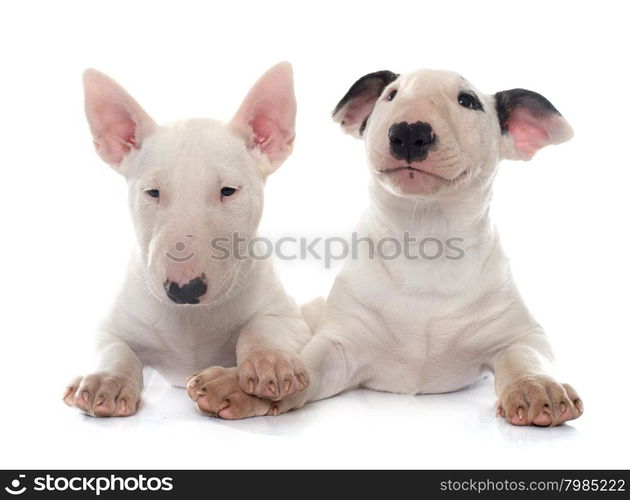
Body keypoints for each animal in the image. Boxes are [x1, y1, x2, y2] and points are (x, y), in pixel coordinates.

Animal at [63, 63, 312, 422]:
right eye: (152, 192)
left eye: (228, 190)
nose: (184, 289)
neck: (192, 320)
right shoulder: (113, 323)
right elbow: (114, 347)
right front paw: (105, 382)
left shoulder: (288, 314)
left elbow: (264, 326)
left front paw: (272, 363)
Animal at [223, 66, 588, 426]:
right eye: (391, 95)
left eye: (468, 101)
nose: (409, 133)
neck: (425, 241)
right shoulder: (340, 343)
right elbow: (309, 361)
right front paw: (246, 382)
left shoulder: (521, 333)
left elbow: (525, 355)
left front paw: (537, 387)